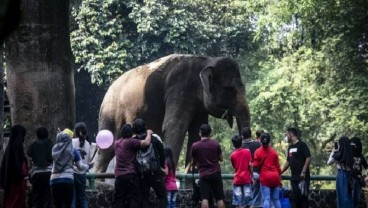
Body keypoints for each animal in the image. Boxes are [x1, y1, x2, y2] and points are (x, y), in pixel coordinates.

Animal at [95, 53, 250, 172]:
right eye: (230, 89)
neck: (206, 60)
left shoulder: (199, 106)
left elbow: (196, 134)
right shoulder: (180, 90)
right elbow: (174, 127)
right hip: (111, 111)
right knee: (107, 147)